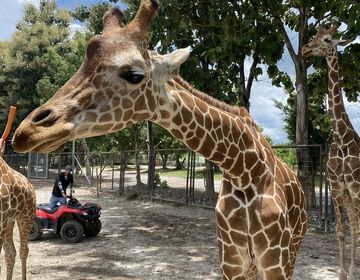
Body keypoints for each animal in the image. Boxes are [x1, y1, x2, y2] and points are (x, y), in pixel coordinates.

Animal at [11, 1, 306, 278]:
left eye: (134, 75)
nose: (27, 131)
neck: (243, 170)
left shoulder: (274, 261)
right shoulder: (231, 260)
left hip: (292, 252)